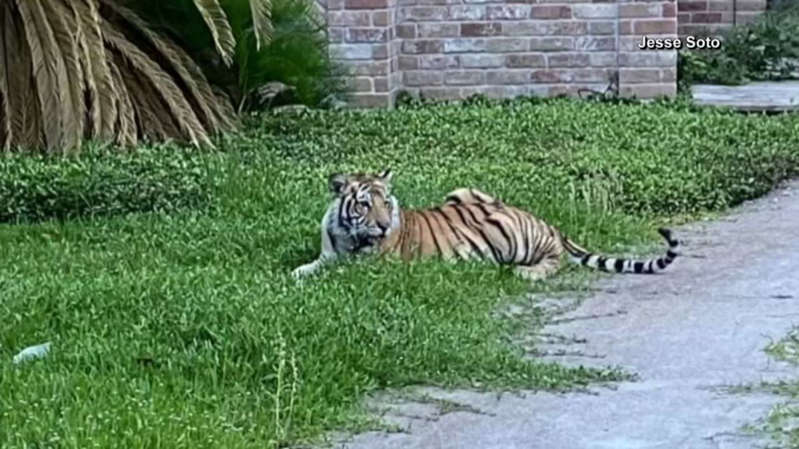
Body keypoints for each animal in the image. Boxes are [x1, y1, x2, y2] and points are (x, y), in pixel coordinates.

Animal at [294, 170, 680, 282]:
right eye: (364, 204)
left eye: (385, 202)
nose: (384, 226)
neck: (347, 235)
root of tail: (547, 222)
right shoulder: (328, 254)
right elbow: (308, 267)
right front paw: (295, 274)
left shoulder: (372, 266)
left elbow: (338, 273)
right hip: (462, 191)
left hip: (515, 236)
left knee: (555, 260)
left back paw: (526, 273)